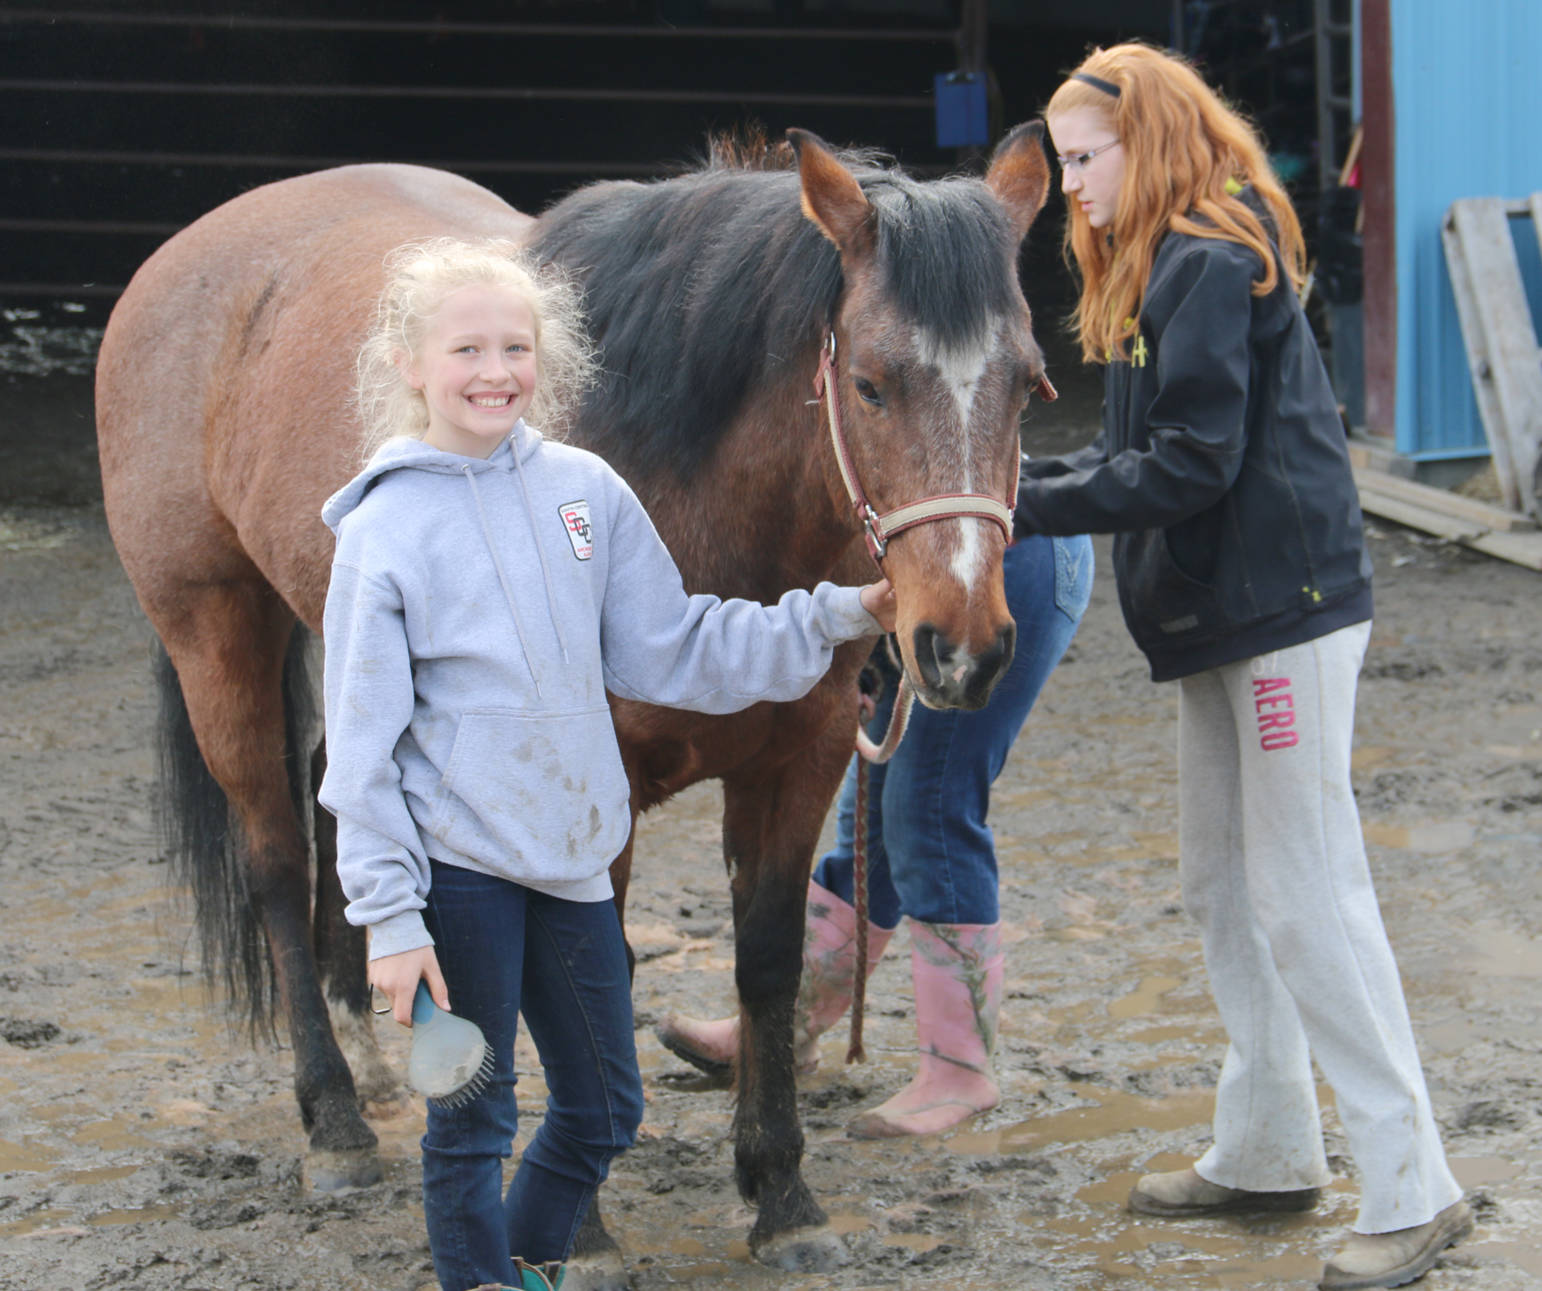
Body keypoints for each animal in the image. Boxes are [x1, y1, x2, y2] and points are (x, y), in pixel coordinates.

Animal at [93, 123, 1048, 1277]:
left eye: (1031, 385)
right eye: (869, 383)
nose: (965, 649)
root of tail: (188, 253)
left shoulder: (802, 757)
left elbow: (767, 963)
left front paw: (782, 1194)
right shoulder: (599, 784)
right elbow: (590, 976)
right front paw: (583, 1230)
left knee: (342, 803)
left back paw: (374, 1049)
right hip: (215, 628)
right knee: (274, 856)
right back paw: (334, 1121)